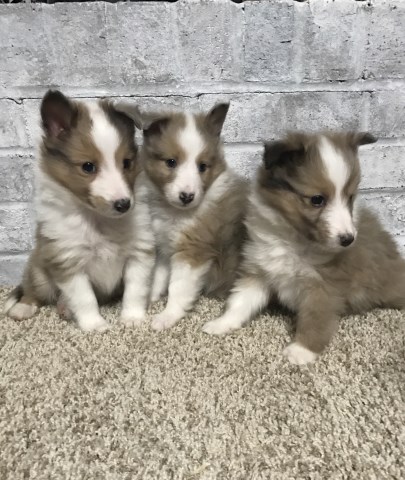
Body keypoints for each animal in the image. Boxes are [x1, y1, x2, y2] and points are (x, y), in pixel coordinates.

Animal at [3, 89, 154, 330]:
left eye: (127, 163)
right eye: (88, 167)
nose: (123, 204)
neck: (99, 219)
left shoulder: (139, 253)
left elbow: (135, 290)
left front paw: (132, 319)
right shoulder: (68, 261)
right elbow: (85, 298)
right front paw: (95, 325)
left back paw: (64, 307)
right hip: (39, 272)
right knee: (33, 291)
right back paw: (23, 308)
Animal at [137, 102, 248, 330]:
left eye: (202, 166)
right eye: (171, 162)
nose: (187, 196)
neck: (174, 212)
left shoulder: (192, 252)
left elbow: (178, 289)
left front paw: (165, 317)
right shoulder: (165, 247)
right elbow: (159, 276)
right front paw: (151, 298)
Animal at [204, 130, 404, 364]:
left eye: (350, 197)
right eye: (317, 199)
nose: (348, 239)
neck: (293, 241)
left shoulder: (323, 288)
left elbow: (315, 320)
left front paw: (301, 351)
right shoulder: (259, 271)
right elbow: (240, 302)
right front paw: (221, 324)